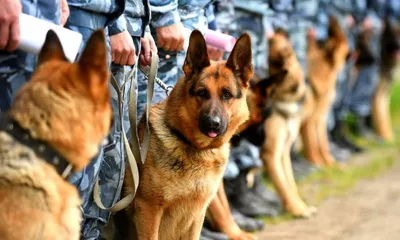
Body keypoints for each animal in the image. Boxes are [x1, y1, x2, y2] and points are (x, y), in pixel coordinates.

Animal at [123, 30, 253, 240]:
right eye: (202, 93)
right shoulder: (148, 209)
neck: (196, 147)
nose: (213, 123)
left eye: (227, 94)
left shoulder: (196, 215)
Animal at [300, 15, 346, 168]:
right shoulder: (309, 120)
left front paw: (329, 163)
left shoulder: (320, 119)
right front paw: (317, 163)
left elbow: (323, 142)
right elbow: (313, 144)